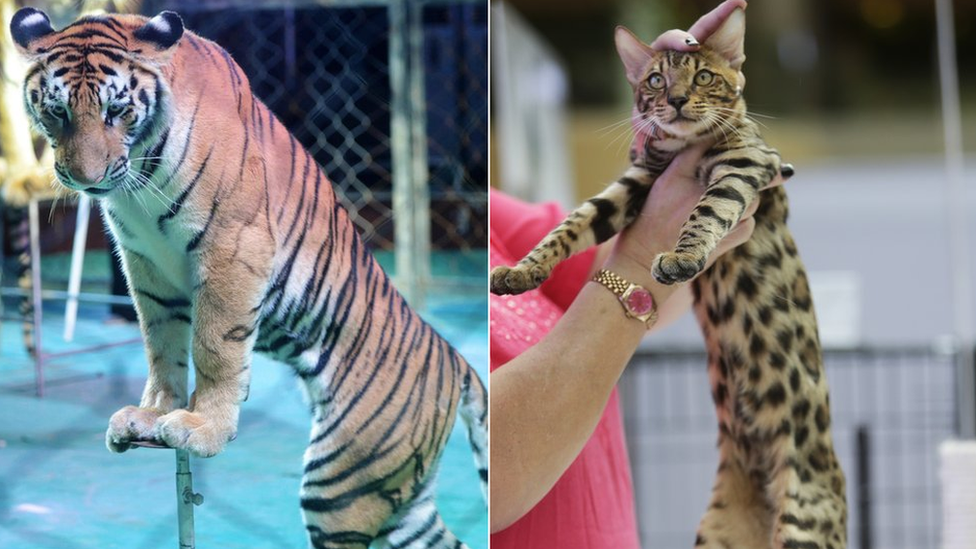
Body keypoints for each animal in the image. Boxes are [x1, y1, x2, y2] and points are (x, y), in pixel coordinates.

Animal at [9, 6, 488, 544]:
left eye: (116, 111)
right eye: (57, 112)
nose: (87, 180)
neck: (139, 181)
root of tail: (455, 361)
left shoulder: (233, 245)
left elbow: (214, 345)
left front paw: (202, 427)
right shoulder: (145, 263)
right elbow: (160, 343)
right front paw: (153, 413)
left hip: (340, 482)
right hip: (391, 493)